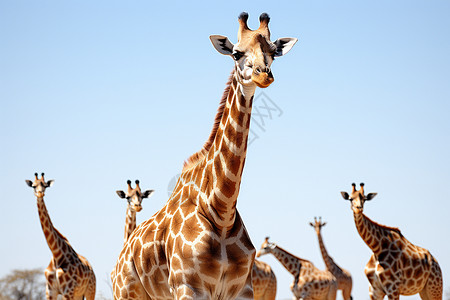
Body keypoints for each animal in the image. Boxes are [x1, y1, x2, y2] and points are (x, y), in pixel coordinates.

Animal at [25, 172, 96, 300]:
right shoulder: (50, 291)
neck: (56, 254)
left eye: (45, 185)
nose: (40, 193)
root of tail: (91, 269)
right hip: (79, 294)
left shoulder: (67, 290)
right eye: (33, 186)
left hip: (90, 290)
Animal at [110, 11, 298, 300]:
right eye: (236, 53)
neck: (221, 210)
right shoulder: (189, 287)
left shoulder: (242, 289)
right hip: (127, 294)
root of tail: (120, 258)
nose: (263, 75)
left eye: (273, 53)